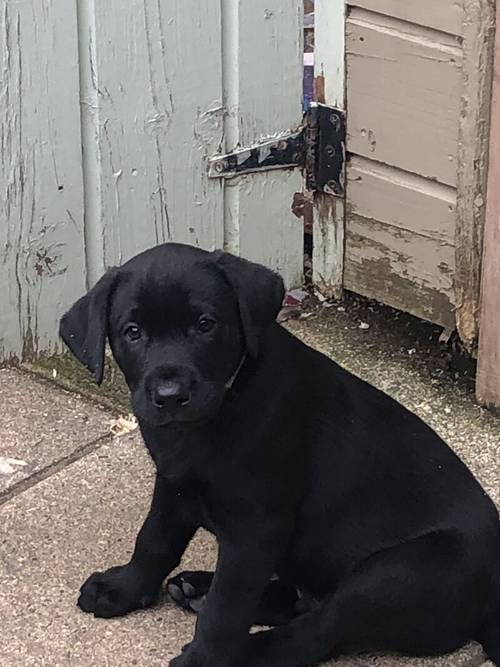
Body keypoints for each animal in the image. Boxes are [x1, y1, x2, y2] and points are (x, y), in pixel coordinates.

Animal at [61, 244, 500, 667]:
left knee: (314, 633)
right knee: (300, 604)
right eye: (132, 332)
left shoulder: (256, 528)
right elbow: (153, 540)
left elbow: (227, 608)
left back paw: (239, 646)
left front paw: (203, 658)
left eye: (205, 324)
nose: (170, 396)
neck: (219, 410)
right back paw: (198, 588)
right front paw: (123, 588)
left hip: (395, 574)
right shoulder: (173, 486)